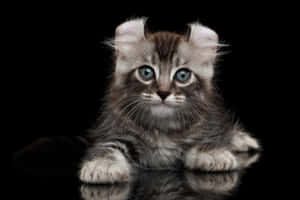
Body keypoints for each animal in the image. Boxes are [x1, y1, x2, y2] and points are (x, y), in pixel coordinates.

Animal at [79, 18, 260, 183]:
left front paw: (212, 153)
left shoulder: (206, 122)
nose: (163, 93)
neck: (162, 129)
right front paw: (102, 165)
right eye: (146, 72)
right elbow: (107, 148)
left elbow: (207, 138)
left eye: (182, 75)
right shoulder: (114, 130)